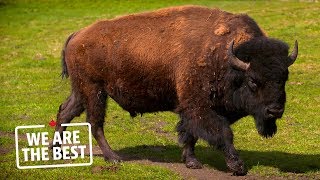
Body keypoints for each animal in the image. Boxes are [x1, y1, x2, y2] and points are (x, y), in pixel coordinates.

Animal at [52, 5, 298, 176]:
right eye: (254, 81)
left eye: (284, 77)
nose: (275, 110)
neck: (225, 56)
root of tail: (77, 35)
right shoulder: (198, 106)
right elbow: (222, 133)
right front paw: (237, 166)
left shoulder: (191, 109)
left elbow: (189, 134)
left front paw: (192, 162)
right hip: (95, 91)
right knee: (95, 123)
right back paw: (113, 158)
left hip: (82, 91)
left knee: (65, 112)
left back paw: (58, 152)